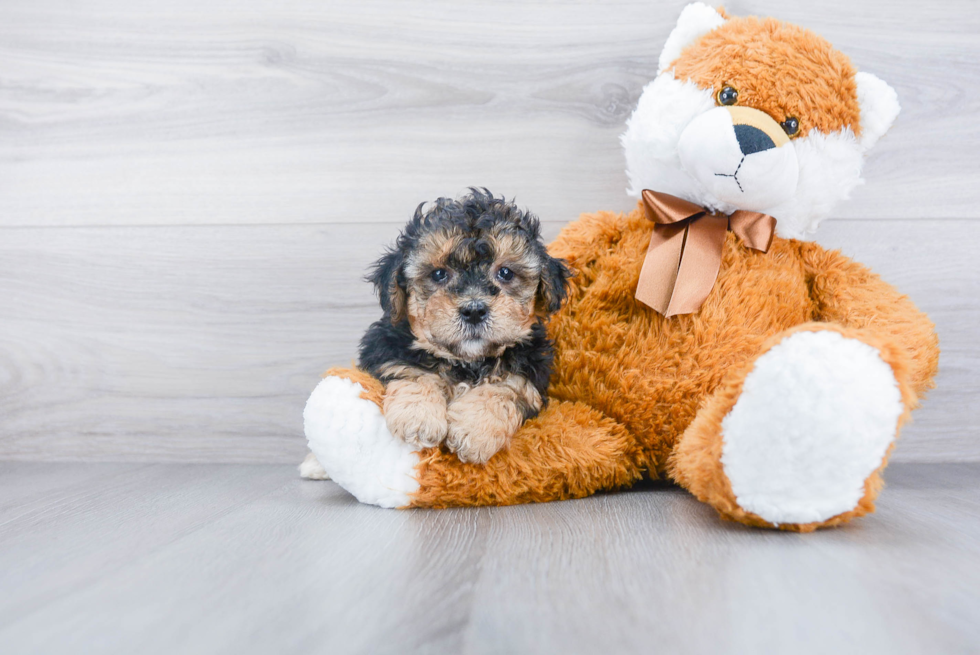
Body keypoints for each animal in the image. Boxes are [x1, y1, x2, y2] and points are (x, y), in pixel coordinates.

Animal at [360, 188, 576, 466]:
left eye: (505, 272)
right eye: (439, 274)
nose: (474, 311)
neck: (467, 363)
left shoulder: (531, 371)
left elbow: (505, 388)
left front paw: (474, 432)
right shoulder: (387, 350)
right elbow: (414, 371)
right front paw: (418, 417)